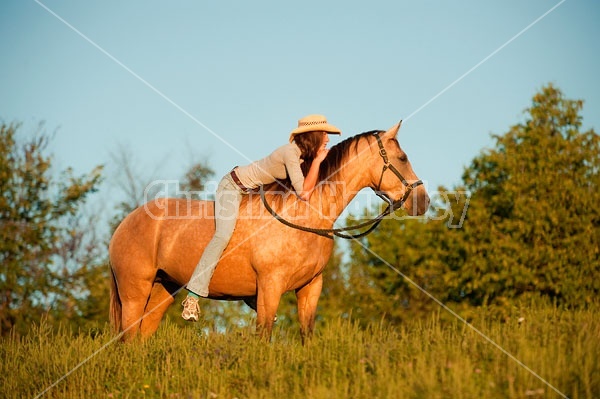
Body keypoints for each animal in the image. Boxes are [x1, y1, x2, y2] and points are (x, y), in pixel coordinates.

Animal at [106, 122, 426, 340]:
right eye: (402, 158)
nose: (423, 201)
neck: (304, 214)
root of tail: (124, 224)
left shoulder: (310, 287)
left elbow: (306, 333)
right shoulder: (270, 287)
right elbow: (263, 334)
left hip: (162, 290)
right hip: (134, 293)